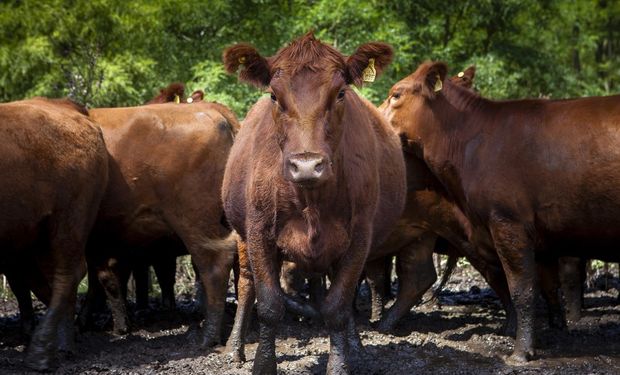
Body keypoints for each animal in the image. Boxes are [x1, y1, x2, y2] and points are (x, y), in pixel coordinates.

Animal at [0, 97, 108, 370]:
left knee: (67, 274)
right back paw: (62, 343)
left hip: (69, 221)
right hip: (40, 233)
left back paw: (40, 354)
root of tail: (66, 106)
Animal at [78, 100, 239, 350]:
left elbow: (105, 280)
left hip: (195, 220)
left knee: (215, 264)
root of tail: (211, 109)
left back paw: (209, 336)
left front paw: (118, 326)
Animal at [222, 33, 406, 375]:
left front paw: (341, 363)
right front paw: (263, 365)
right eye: (274, 95)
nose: (307, 166)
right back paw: (234, 347)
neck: (310, 201)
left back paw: (355, 347)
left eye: (341, 93)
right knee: (246, 284)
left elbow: (338, 306)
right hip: (241, 236)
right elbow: (269, 304)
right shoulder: (258, 232)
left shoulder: (359, 237)